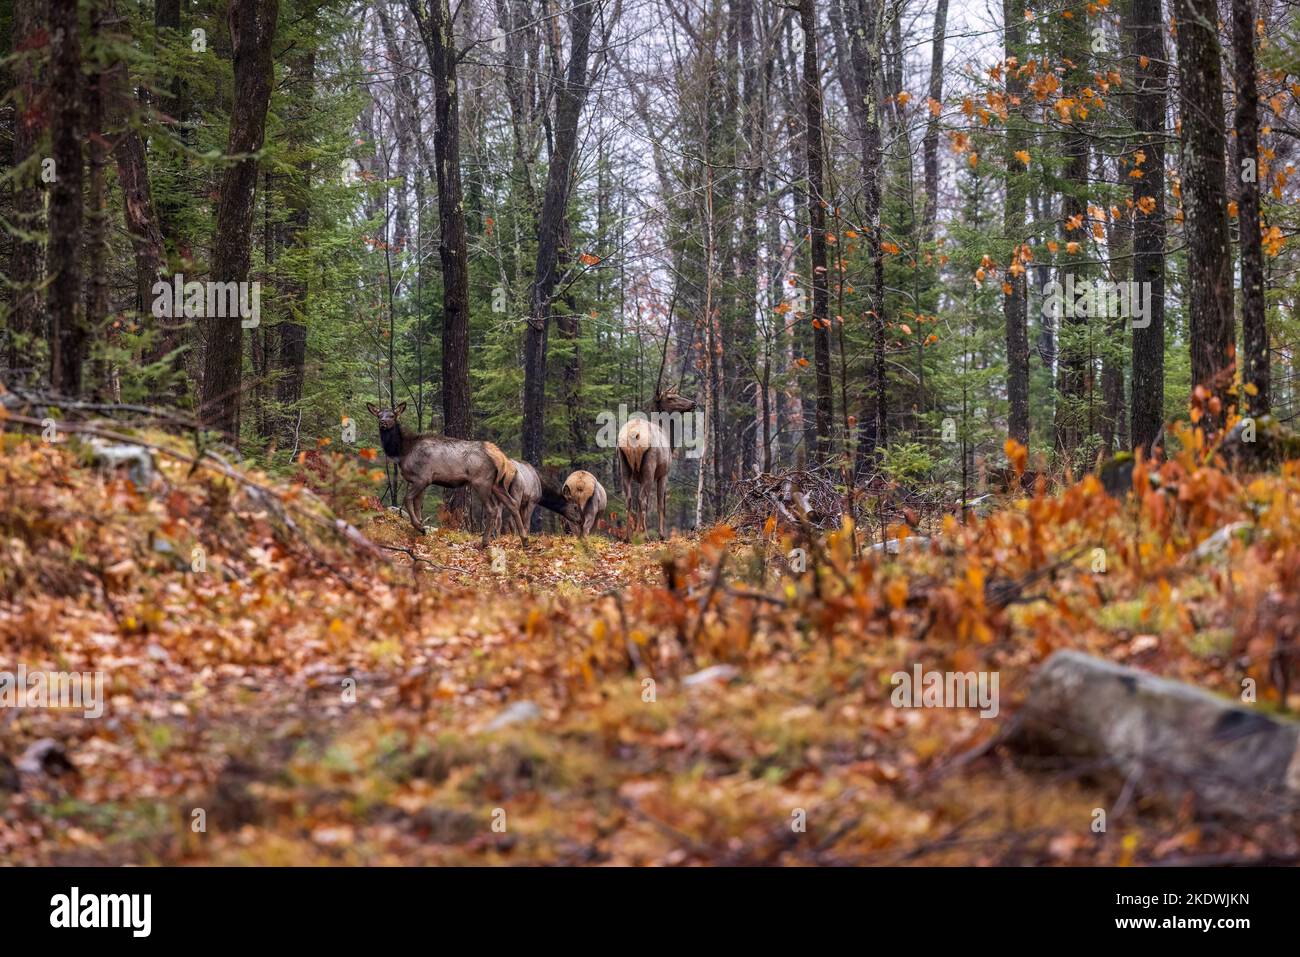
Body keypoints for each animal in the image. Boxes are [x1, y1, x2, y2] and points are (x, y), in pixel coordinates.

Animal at [366, 400, 522, 540]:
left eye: (392, 415)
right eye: (379, 415)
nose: (383, 422)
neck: (403, 451)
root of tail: (501, 457)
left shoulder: (423, 478)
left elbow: (407, 499)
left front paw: (419, 527)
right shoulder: (420, 482)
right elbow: (417, 505)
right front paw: (420, 528)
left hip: (481, 481)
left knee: (493, 509)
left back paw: (485, 542)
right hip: (497, 483)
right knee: (513, 504)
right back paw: (523, 539)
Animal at [616, 387, 696, 538]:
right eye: (670, 398)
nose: (693, 403)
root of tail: (633, 435)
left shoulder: (639, 478)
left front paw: (637, 533)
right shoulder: (663, 474)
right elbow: (661, 504)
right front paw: (661, 534)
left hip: (624, 465)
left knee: (629, 498)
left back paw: (627, 536)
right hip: (650, 466)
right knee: (642, 499)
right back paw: (646, 536)